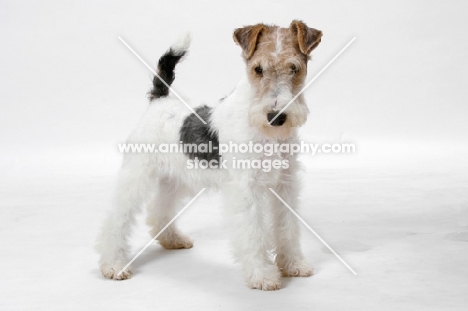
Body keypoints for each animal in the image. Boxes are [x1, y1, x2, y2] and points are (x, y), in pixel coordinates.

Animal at [95, 20, 322, 292]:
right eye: (258, 69)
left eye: (294, 68)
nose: (275, 117)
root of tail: (159, 101)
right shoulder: (246, 188)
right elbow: (254, 233)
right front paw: (262, 275)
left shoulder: (285, 183)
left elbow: (287, 227)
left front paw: (293, 264)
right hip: (137, 175)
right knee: (116, 218)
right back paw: (113, 265)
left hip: (174, 179)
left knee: (159, 211)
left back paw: (172, 239)